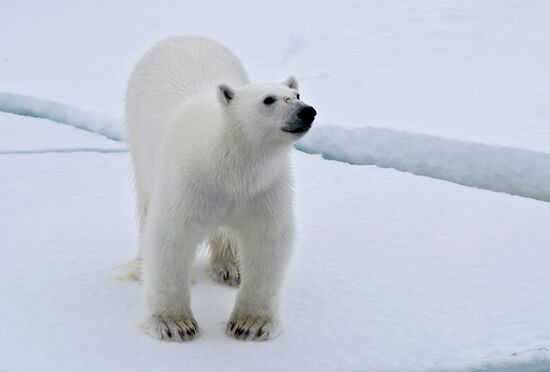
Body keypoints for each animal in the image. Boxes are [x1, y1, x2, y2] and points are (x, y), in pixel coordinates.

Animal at [123, 36, 316, 342]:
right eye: (268, 99)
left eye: (296, 95)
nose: (307, 111)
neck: (227, 165)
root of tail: (182, 37)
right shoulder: (188, 183)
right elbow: (170, 236)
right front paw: (175, 325)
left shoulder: (262, 188)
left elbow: (268, 239)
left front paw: (250, 325)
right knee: (145, 205)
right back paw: (143, 268)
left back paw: (231, 268)